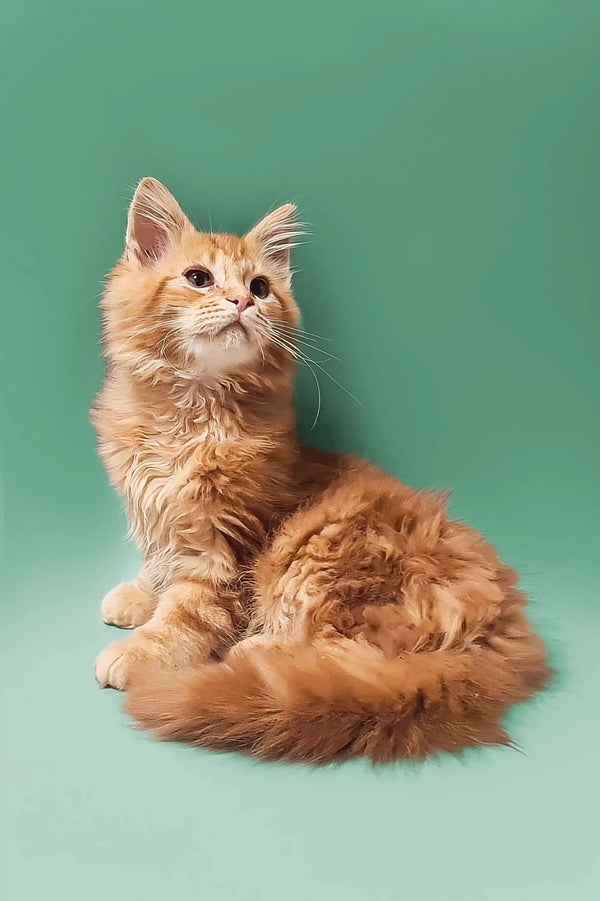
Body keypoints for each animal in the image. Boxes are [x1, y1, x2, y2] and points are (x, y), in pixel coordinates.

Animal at [92, 179, 548, 764]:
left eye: (260, 287)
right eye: (199, 279)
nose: (242, 301)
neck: (190, 415)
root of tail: (503, 625)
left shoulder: (225, 547)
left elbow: (187, 612)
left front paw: (140, 649)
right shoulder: (160, 515)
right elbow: (157, 565)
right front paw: (138, 597)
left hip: (321, 552)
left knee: (350, 657)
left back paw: (254, 653)